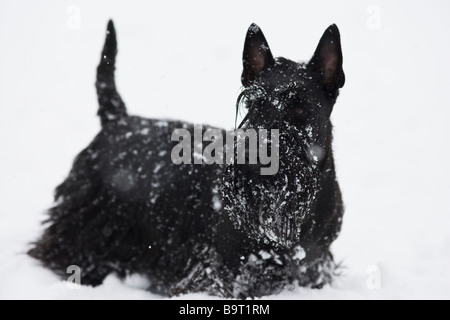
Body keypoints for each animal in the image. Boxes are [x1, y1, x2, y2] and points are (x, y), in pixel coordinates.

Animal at [29, 21, 344, 298]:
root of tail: (117, 119)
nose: (251, 156)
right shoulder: (217, 269)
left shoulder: (314, 264)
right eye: (252, 103)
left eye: (300, 107)